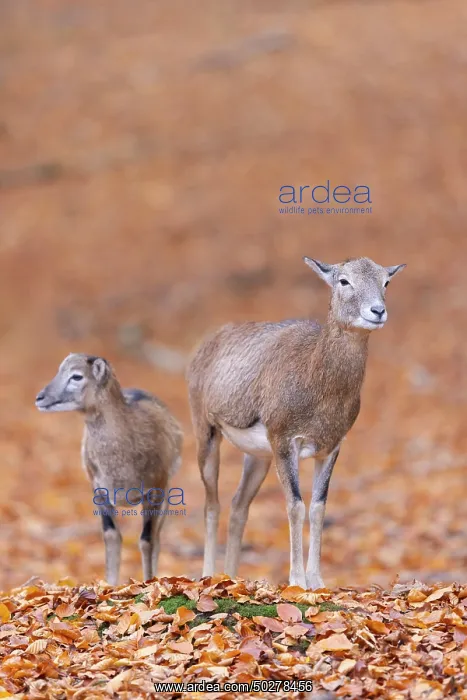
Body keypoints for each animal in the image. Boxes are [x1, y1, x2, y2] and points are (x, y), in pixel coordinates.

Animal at [35, 354, 183, 586]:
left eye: (76, 376)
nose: (40, 398)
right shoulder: (99, 492)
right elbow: (112, 536)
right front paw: (110, 585)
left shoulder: (155, 490)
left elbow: (146, 540)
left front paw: (149, 582)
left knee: (157, 536)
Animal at [187, 256, 405, 590]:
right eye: (343, 280)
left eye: (386, 281)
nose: (377, 311)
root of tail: (205, 346)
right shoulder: (284, 442)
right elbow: (295, 506)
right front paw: (298, 581)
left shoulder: (330, 448)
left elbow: (317, 507)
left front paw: (317, 581)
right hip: (207, 434)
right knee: (212, 504)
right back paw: (209, 575)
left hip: (259, 458)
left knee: (239, 506)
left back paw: (232, 577)